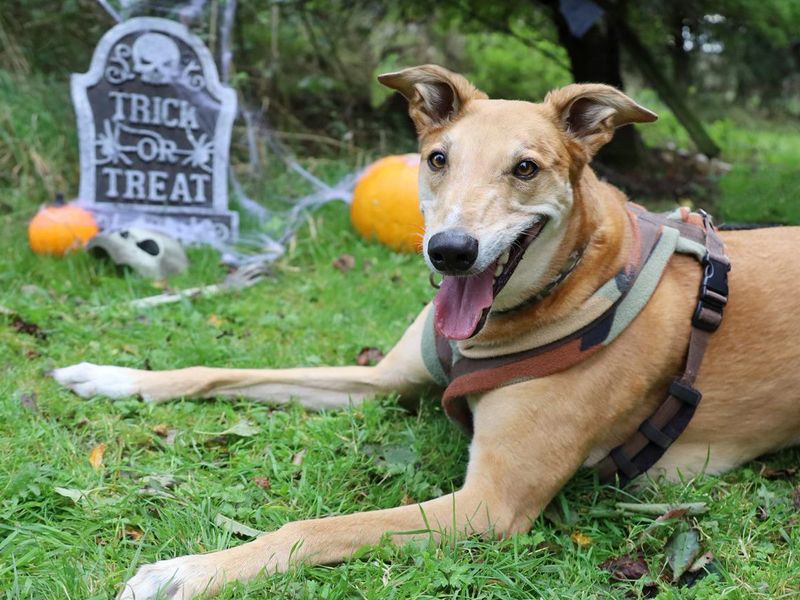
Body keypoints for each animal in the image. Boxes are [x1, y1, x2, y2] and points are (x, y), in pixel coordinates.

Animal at [51, 63, 800, 596]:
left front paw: (191, 571)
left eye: (525, 168)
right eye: (438, 158)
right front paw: (110, 376)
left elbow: (315, 528)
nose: (450, 251)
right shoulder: (383, 380)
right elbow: (215, 371)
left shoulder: (489, 506)